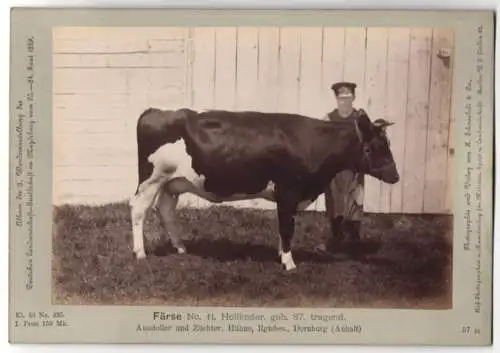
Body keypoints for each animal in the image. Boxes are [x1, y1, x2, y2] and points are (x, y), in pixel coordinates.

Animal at [129, 107, 398, 270]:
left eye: (387, 144)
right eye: (374, 147)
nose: (395, 176)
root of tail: (156, 111)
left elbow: (284, 226)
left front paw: (281, 256)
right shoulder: (288, 191)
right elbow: (287, 227)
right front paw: (289, 263)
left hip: (171, 182)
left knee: (166, 210)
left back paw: (181, 248)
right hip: (151, 180)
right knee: (138, 210)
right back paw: (140, 253)